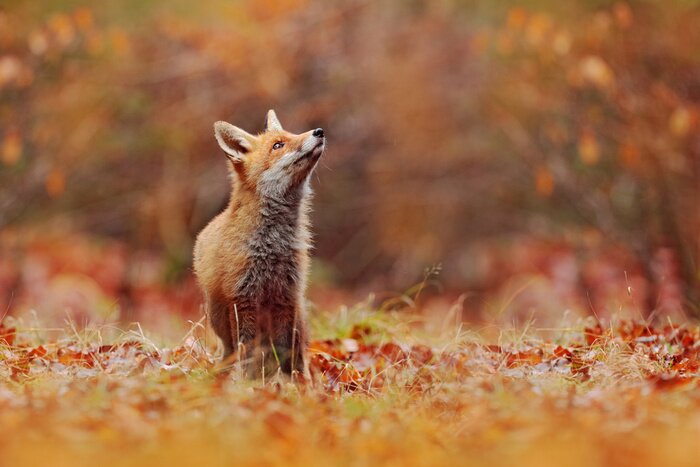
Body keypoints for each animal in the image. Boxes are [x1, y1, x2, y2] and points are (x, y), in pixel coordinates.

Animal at [193, 110, 325, 379]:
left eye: (292, 134)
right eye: (278, 145)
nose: (319, 131)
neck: (272, 247)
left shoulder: (286, 297)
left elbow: (287, 354)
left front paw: (291, 384)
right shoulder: (242, 300)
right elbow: (246, 353)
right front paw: (247, 383)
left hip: (299, 316)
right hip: (219, 318)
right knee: (232, 351)